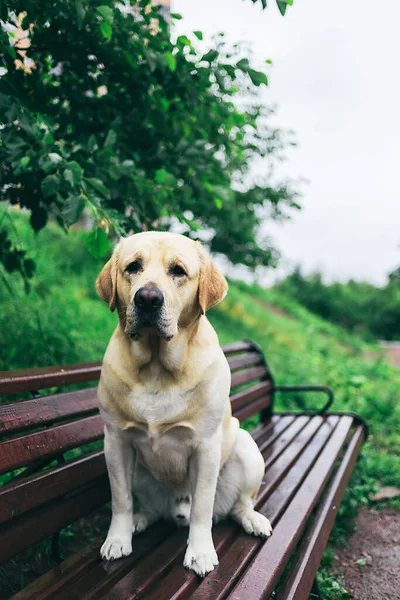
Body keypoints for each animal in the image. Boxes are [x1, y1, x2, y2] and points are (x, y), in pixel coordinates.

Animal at [96, 231, 272, 576]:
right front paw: (118, 539)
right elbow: (120, 500)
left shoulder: (205, 447)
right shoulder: (116, 441)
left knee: (240, 504)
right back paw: (140, 520)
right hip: (137, 469)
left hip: (247, 450)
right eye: (133, 266)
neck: (156, 368)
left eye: (178, 271)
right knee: (148, 507)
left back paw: (252, 519)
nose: (148, 298)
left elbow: (202, 508)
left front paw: (200, 552)